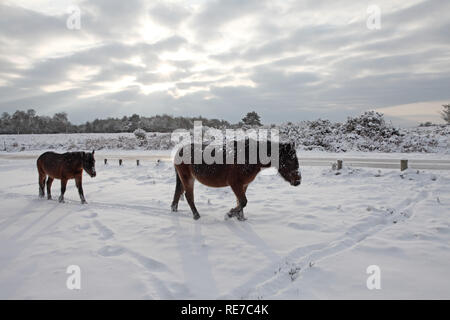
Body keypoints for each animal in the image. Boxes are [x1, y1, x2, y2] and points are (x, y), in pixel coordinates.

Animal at [171, 139, 300, 220]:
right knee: (188, 196)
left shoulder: (243, 185)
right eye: (290, 160)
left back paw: (174, 210)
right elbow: (243, 201)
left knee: (178, 193)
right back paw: (196, 216)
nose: (298, 181)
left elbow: (240, 202)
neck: (249, 157)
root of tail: (179, 151)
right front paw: (229, 214)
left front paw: (240, 218)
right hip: (187, 178)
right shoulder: (235, 184)